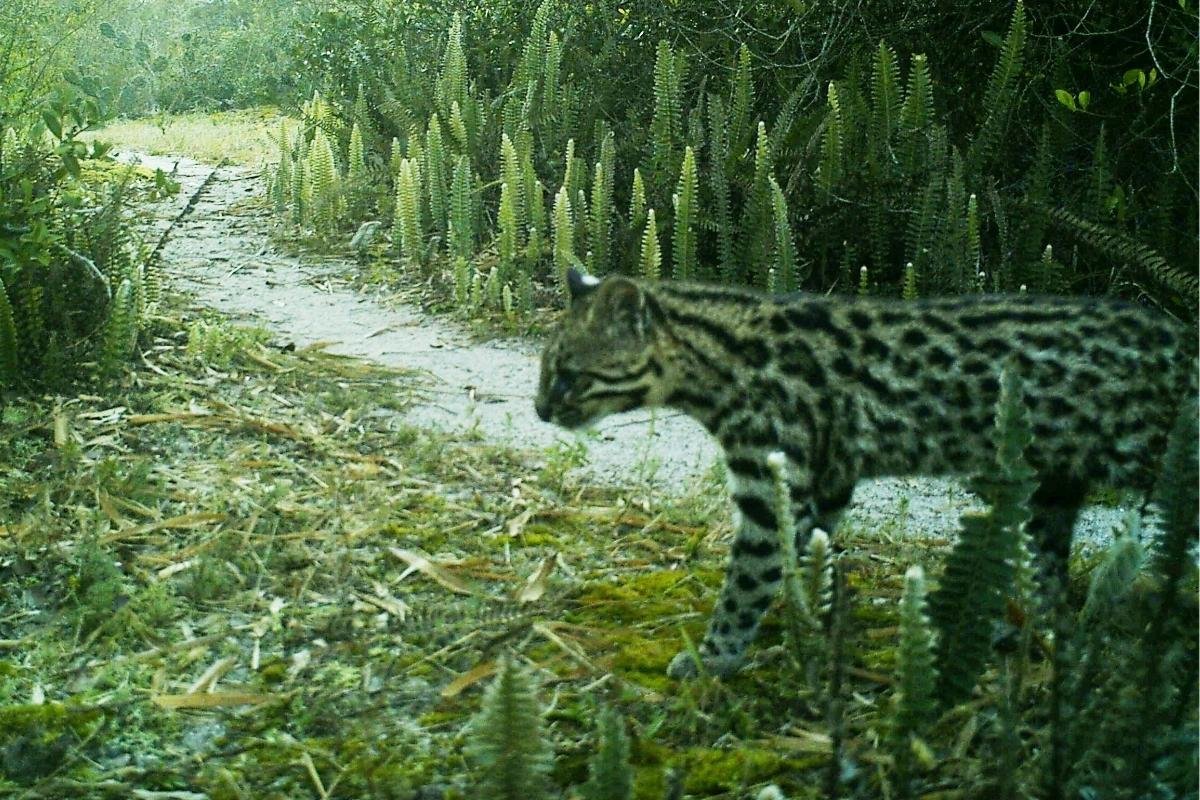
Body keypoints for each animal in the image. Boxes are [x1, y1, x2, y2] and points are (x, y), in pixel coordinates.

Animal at [537, 267, 1200, 676]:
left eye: (568, 374)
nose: (540, 410)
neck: (718, 352)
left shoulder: (772, 487)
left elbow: (749, 581)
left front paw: (715, 657)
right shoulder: (828, 480)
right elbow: (813, 556)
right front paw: (812, 619)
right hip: (1053, 490)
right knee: (1049, 574)